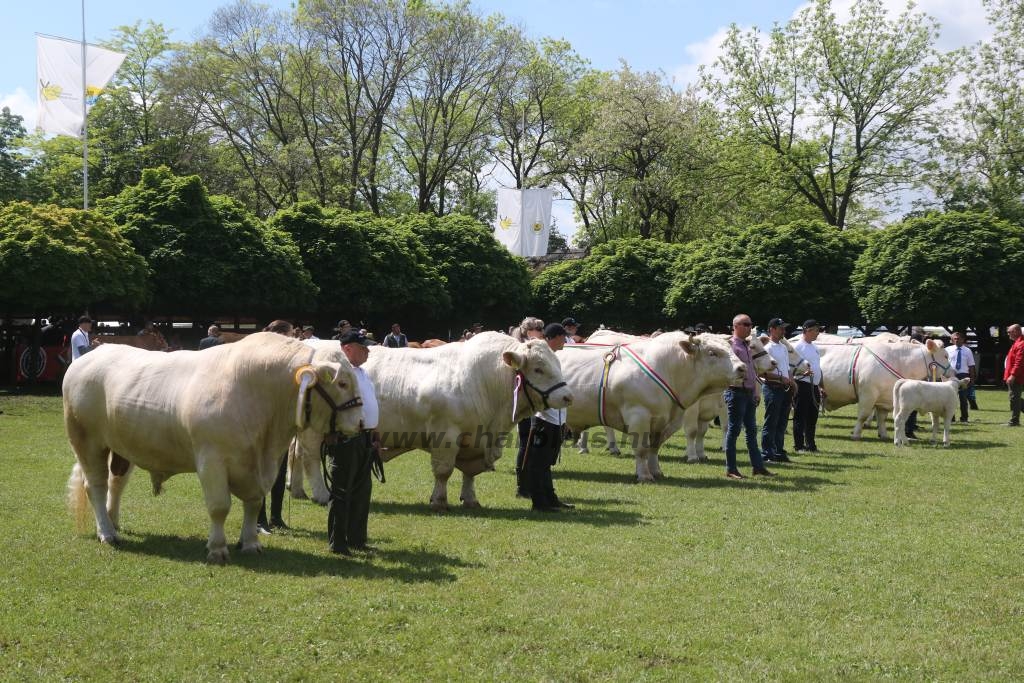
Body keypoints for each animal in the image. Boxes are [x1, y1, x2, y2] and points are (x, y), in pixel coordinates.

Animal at [61, 333, 362, 565]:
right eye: (342, 383)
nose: (360, 423)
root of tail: (92, 354)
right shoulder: (211, 459)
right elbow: (219, 506)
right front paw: (217, 549)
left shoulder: (260, 466)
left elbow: (254, 503)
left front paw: (250, 543)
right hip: (87, 442)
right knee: (96, 487)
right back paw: (107, 533)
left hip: (122, 447)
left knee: (116, 483)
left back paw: (113, 522)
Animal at [360, 331, 573, 511]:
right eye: (538, 369)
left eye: (558, 364)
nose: (568, 396)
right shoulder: (445, 436)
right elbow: (443, 471)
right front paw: (439, 502)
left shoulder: (474, 442)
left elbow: (470, 473)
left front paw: (471, 500)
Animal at [561, 333, 745, 483]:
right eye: (712, 352)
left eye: (730, 348)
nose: (742, 367)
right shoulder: (639, 416)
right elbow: (642, 449)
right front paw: (644, 476)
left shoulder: (665, 421)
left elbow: (654, 448)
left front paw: (656, 472)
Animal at [811, 337, 954, 444]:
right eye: (945, 356)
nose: (954, 372)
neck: (899, 361)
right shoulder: (868, 394)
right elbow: (862, 416)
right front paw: (856, 434)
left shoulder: (885, 398)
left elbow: (882, 418)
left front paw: (884, 434)